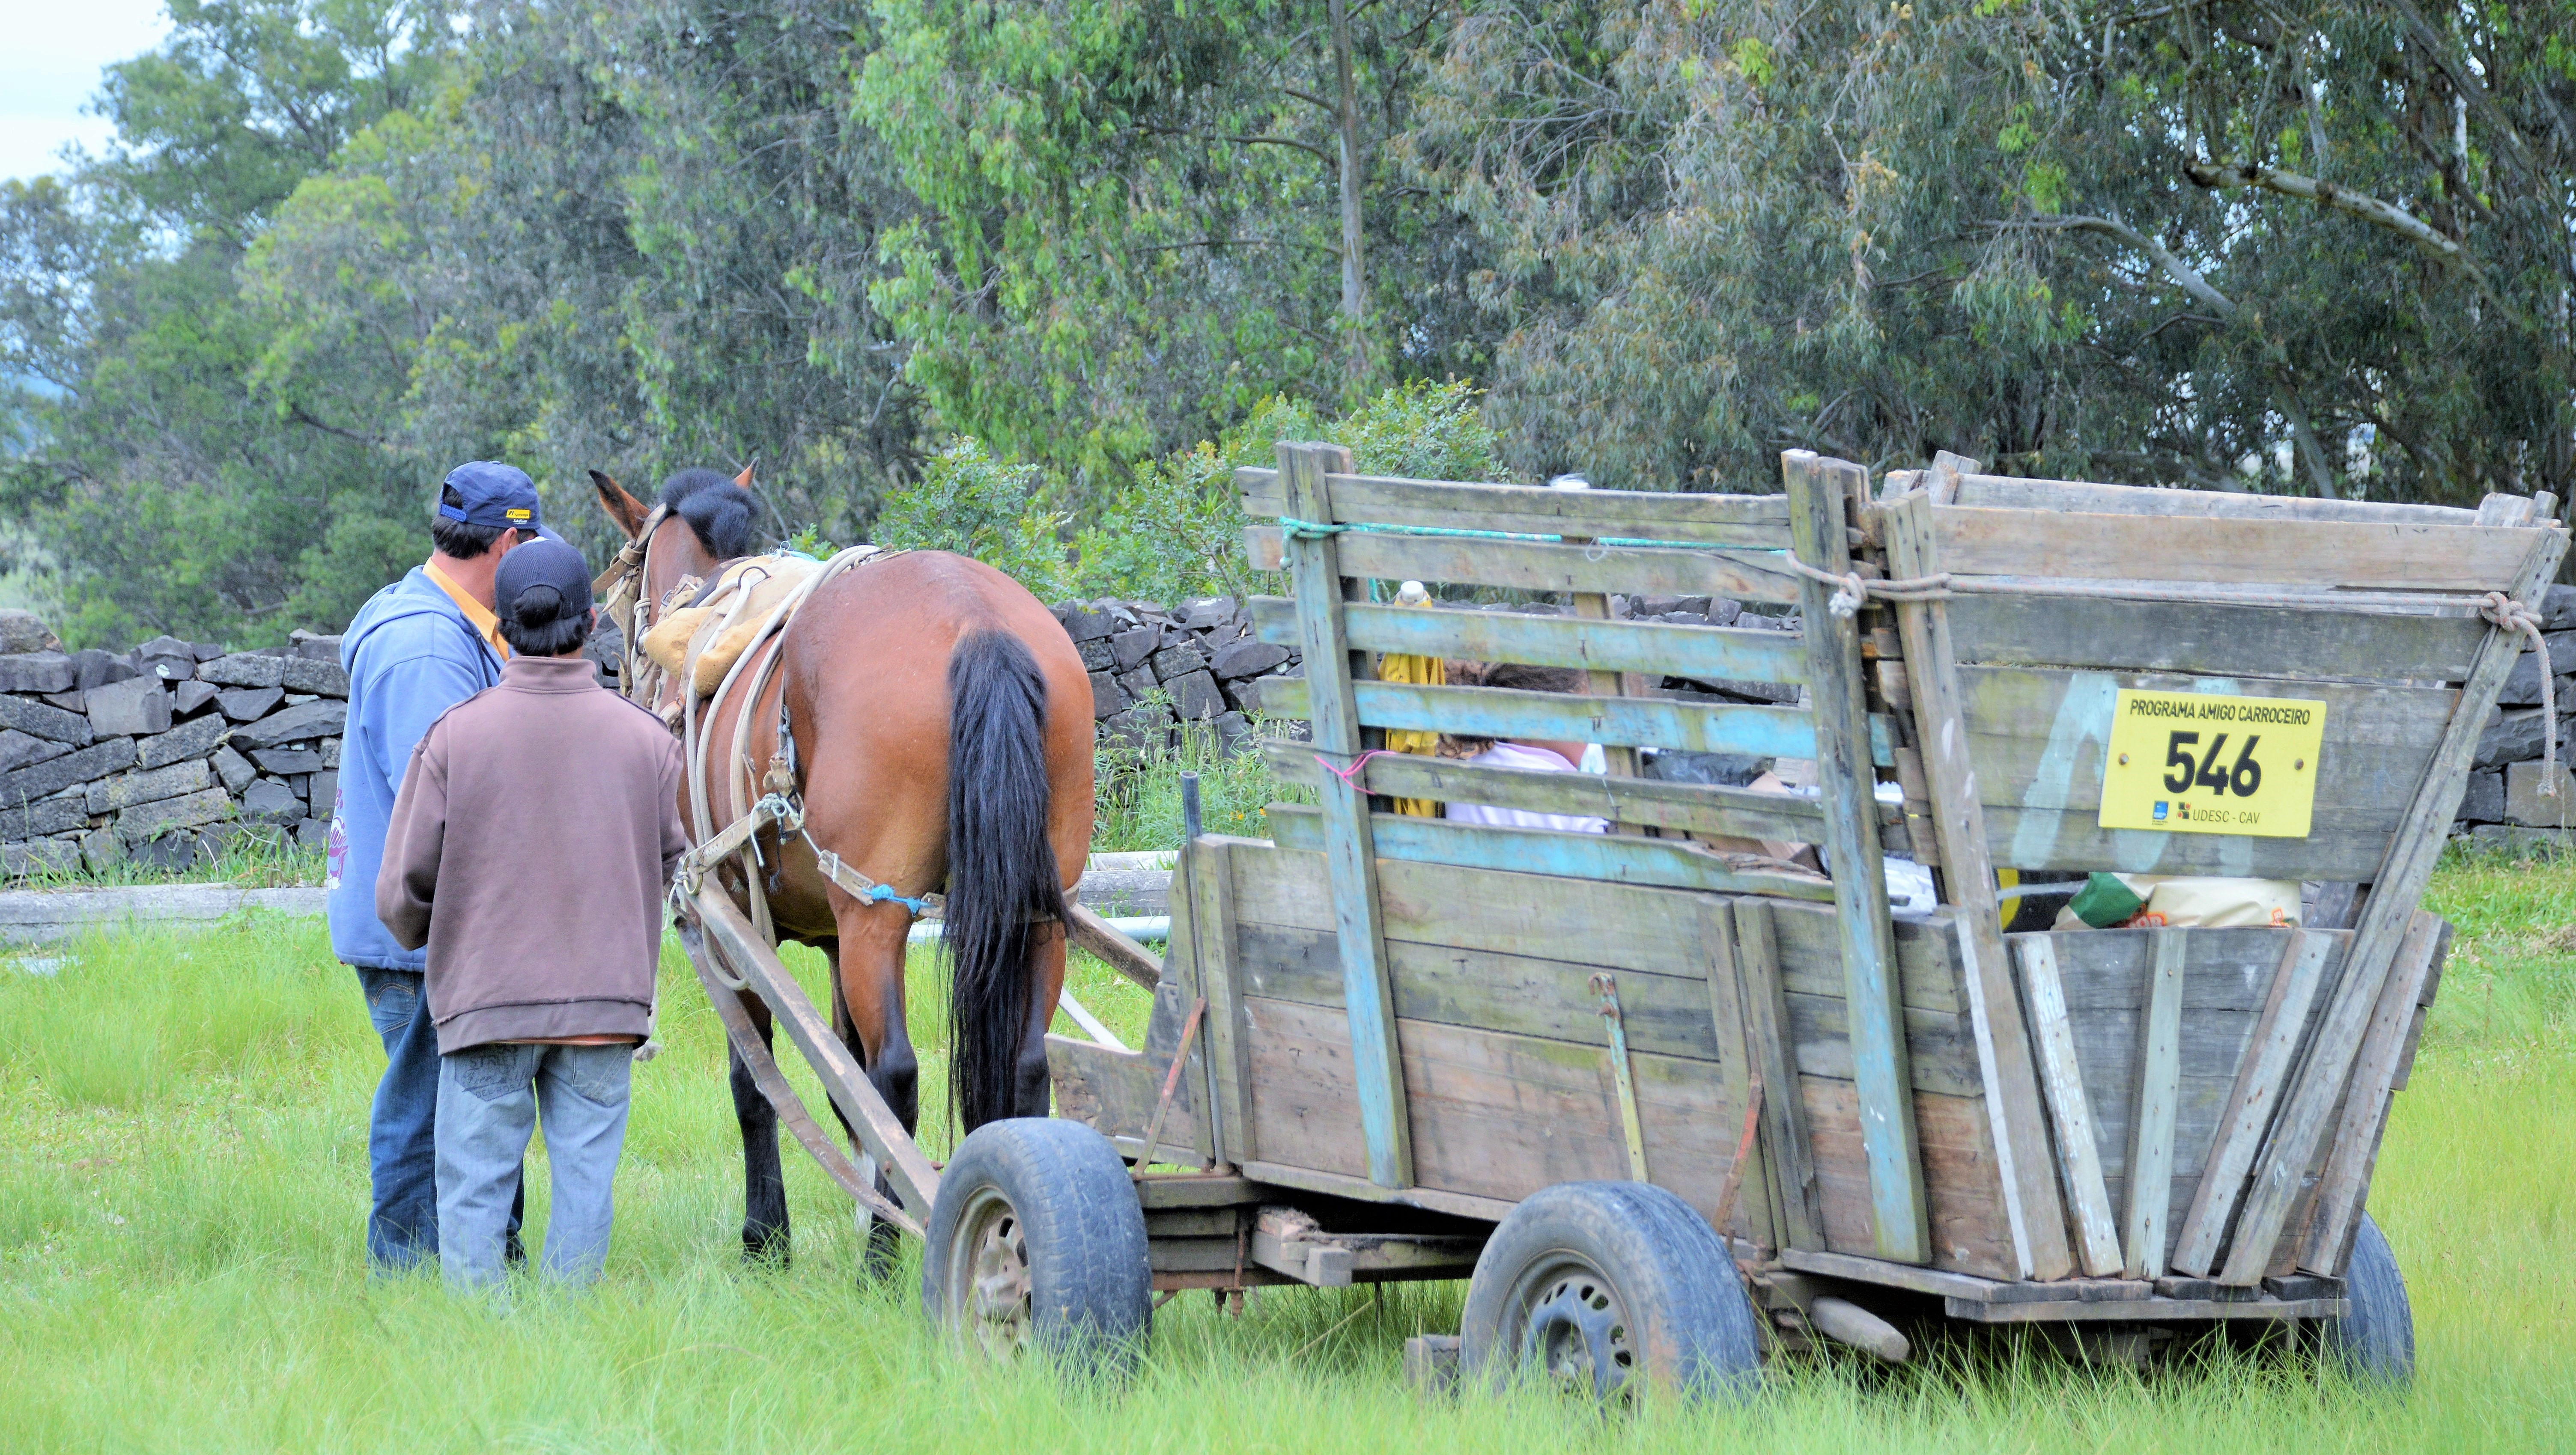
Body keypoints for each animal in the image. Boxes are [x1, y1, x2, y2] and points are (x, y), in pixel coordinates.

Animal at [589, 464, 1095, 1267]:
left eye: (628, 568)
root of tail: (977, 622)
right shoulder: (830, 938)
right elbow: (842, 1081)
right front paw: (861, 1203)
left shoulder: (740, 927)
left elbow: (759, 1079)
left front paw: (766, 1235)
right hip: (1037, 914)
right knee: (1024, 1063)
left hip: (875, 918)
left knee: (896, 1072)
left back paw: (881, 1259)